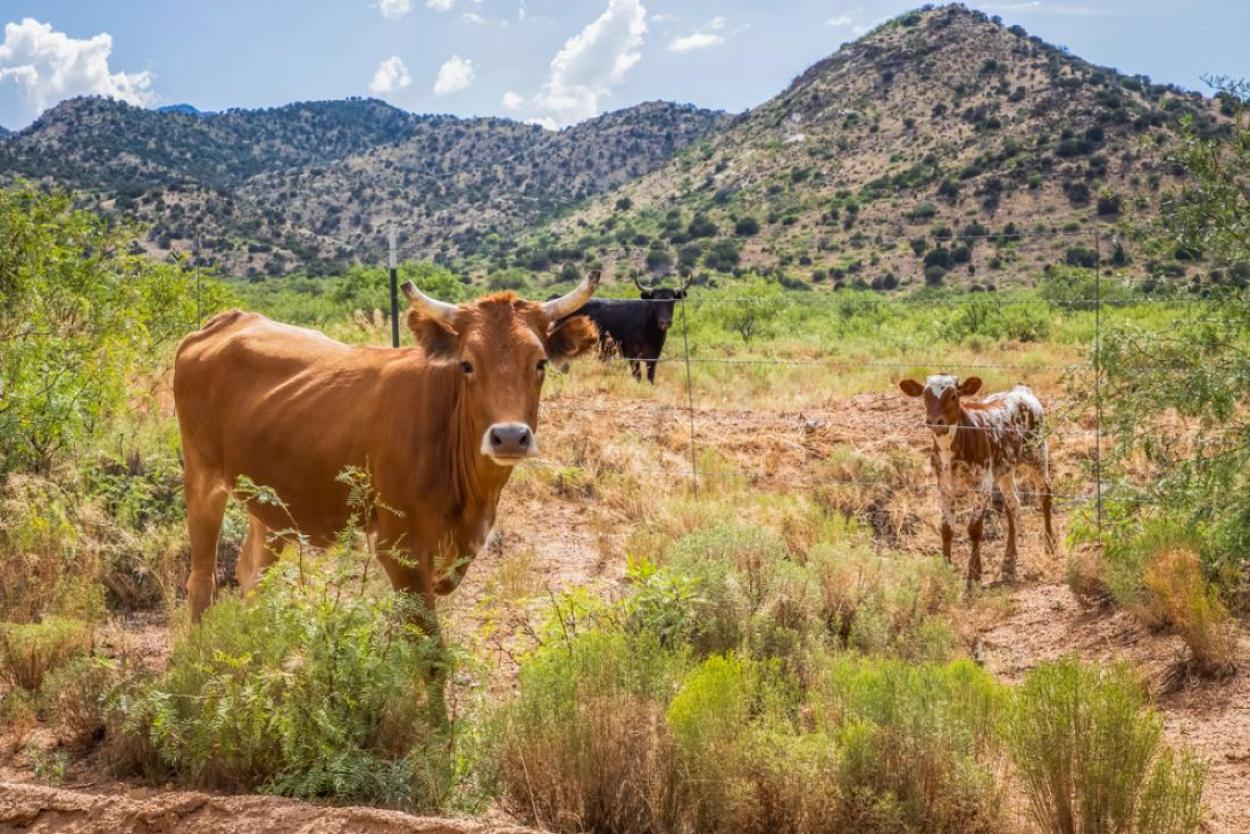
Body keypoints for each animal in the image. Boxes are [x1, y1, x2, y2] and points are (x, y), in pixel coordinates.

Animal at [173, 273, 602, 625]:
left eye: (540, 363)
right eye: (467, 364)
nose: (510, 436)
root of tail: (230, 319)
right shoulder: (399, 549)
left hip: (270, 501)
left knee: (252, 571)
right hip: (202, 480)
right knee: (202, 577)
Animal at [562, 278, 690, 387]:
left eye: (672, 301)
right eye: (655, 301)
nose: (665, 322)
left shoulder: (653, 355)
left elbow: (650, 376)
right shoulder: (632, 355)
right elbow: (638, 375)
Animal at [900, 375, 1055, 590]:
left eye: (954, 396)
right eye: (925, 395)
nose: (934, 422)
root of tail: (1021, 390)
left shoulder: (982, 484)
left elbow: (974, 528)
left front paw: (974, 573)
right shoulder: (944, 486)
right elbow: (946, 529)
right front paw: (945, 567)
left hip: (1038, 455)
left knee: (1045, 496)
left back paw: (1049, 545)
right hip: (1004, 470)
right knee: (1013, 504)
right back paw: (1009, 558)